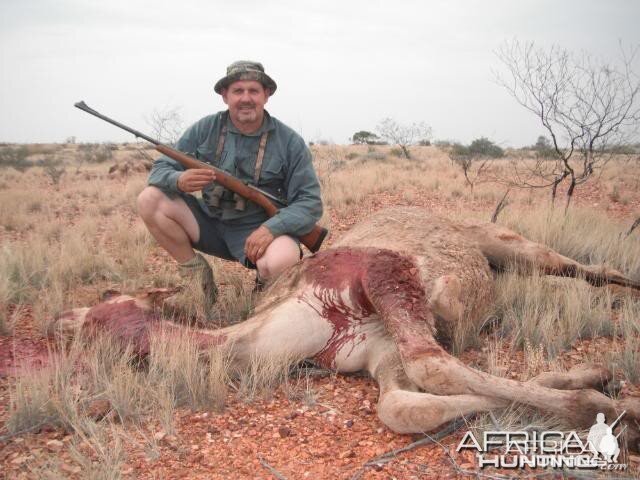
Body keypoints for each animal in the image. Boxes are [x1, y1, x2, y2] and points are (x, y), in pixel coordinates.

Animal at [57, 206, 640, 450]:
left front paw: (617, 415)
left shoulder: (386, 276)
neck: (305, 322)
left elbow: (435, 367)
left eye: (102, 307)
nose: (59, 320)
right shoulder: (379, 354)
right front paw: (592, 379)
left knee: (580, 267)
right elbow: (403, 406)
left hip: (507, 242)